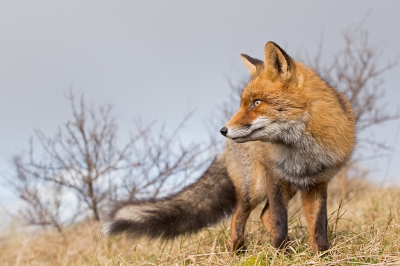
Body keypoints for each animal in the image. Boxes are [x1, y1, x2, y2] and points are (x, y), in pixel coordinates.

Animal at [103, 42, 356, 254]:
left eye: (256, 103)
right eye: (243, 103)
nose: (223, 130)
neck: (302, 153)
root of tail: (225, 149)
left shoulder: (317, 183)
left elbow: (319, 226)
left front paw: (321, 255)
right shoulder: (275, 177)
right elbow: (280, 222)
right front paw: (280, 254)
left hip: (282, 188)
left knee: (264, 215)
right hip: (253, 189)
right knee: (239, 218)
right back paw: (238, 252)